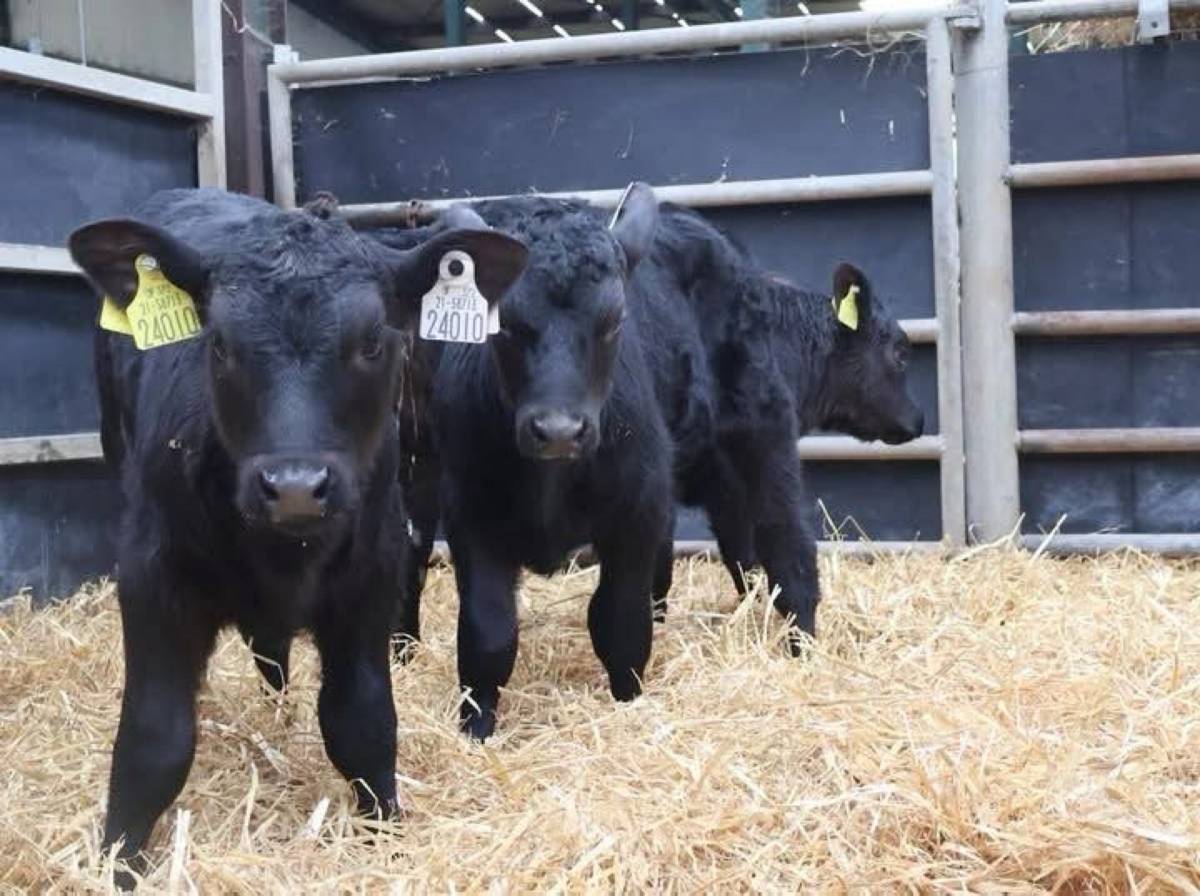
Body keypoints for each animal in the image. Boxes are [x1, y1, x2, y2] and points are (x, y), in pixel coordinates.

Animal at [68, 187, 528, 884]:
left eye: (374, 342)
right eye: (219, 344)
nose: (293, 486)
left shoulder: (372, 578)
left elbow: (363, 723)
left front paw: (386, 840)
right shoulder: (151, 579)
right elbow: (153, 741)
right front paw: (118, 866)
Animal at [370, 186, 673, 740]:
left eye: (614, 320)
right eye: (503, 325)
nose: (558, 430)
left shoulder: (639, 515)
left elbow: (621, 623)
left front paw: (628, 703)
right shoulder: (472, 518)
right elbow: (487, 634)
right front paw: (477, 727)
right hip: (414, 462)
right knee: (410, 553)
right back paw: (401, 651)